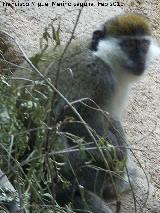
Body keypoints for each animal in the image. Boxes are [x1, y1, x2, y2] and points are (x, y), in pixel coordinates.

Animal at [0, 13, 160, 213]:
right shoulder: (99, 78)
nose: (140, 60)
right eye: (129, 45)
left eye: (144, 45)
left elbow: (110, 119)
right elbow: (72, 115)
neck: (103, 57)